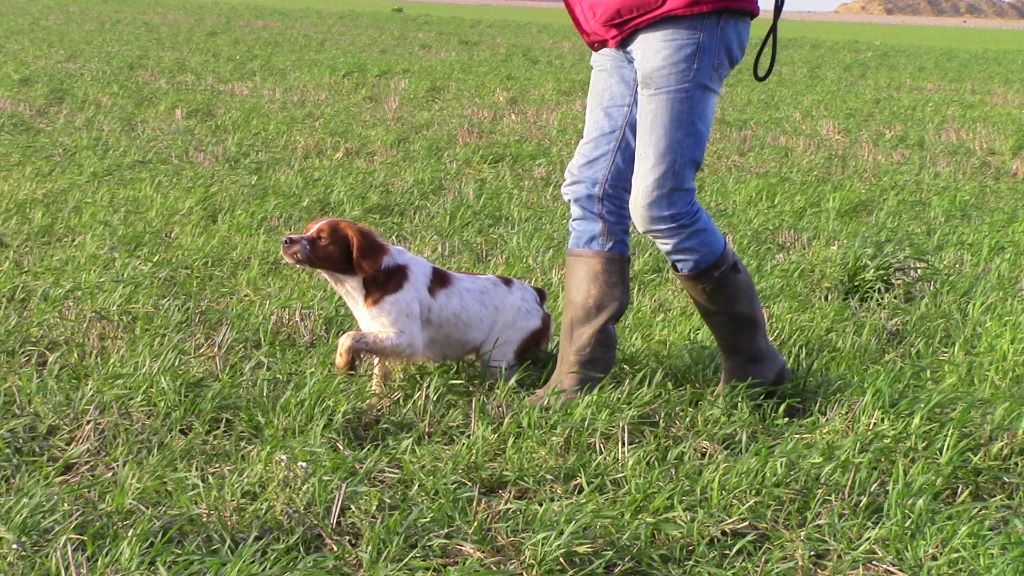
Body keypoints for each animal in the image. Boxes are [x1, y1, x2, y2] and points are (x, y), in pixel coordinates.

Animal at [280, 218, 552, 393]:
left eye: (322, 238)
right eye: (307, 230)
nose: (286, 240)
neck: (370, 280)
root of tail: (536, 294)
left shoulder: (407, 340)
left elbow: (347, 337)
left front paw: (345, 364)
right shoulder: (380, 336)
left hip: (498, 355)